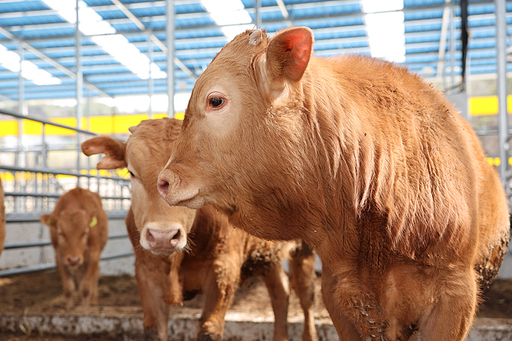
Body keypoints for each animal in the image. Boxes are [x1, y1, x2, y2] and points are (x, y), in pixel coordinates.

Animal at [82, 117, 318, 340]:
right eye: (131, 172)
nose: (162, 236)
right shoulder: (146, 272)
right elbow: (155, 331)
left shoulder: (223, 271)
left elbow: (208, 331)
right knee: (280, 292)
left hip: (306, 249)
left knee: (307, 299)